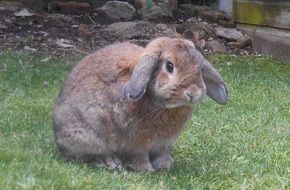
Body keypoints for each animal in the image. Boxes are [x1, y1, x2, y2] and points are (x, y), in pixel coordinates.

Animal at [52, 36, 229, 171]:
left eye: (199, 68)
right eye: (169, 66)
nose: (193, 92)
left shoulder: (165, 144)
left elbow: (162, 155)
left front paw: (165, 166)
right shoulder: (135, 143)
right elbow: (138, 157)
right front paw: (147, 170)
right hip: (87, 135)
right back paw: (110, 163)